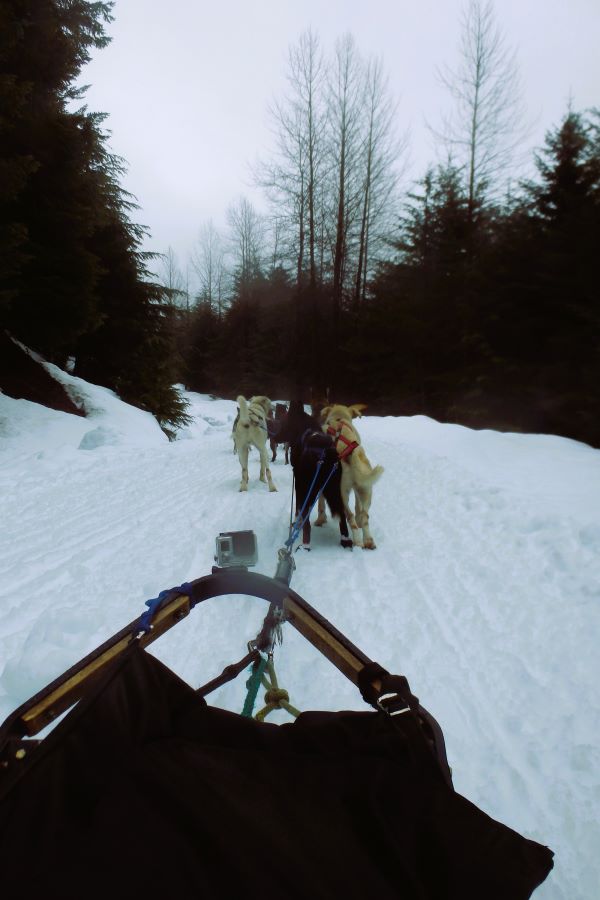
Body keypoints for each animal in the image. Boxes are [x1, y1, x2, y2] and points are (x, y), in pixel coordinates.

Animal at [276, 400, 352, 548]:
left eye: (283, 422)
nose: (274, 437)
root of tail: (325, 454)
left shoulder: (299, 482)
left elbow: (299, 506)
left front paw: (296, 521)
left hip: (309, 487)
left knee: (307, 521)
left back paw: (305, 544)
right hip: (334, 489)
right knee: (342, 514)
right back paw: (345, 540)